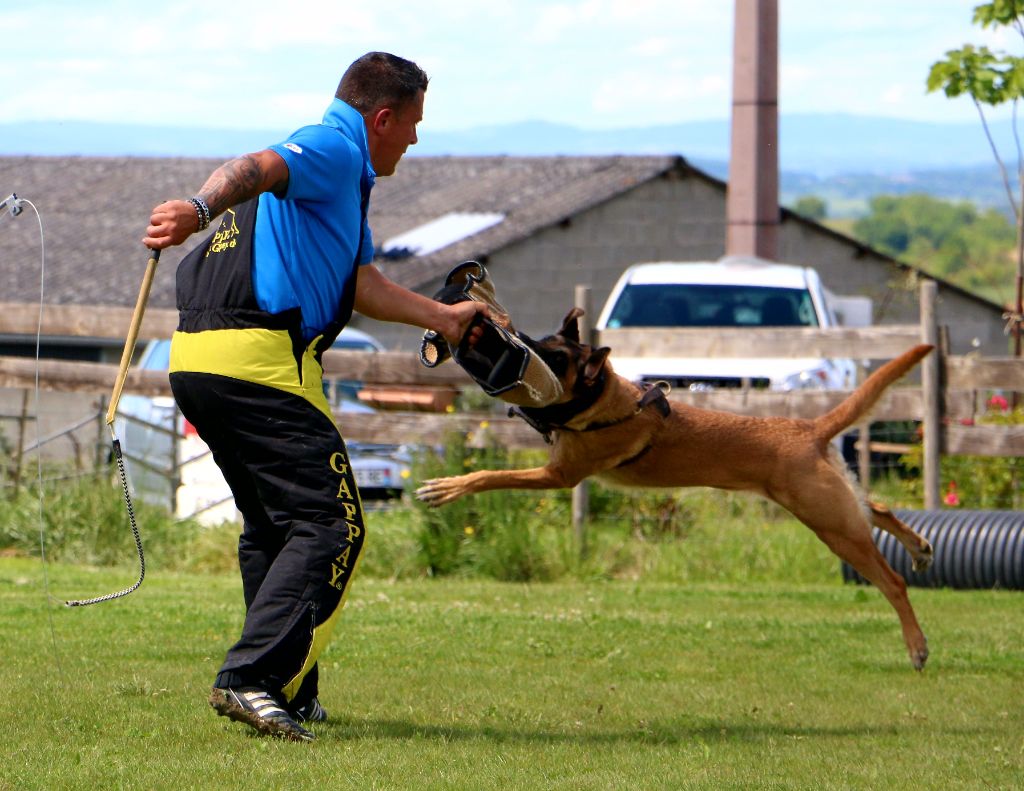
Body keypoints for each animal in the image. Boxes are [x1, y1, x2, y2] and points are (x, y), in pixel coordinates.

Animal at [415, 307, 937, 668]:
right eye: (543, 341)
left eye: (555, 357)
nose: (512, 338)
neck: (604, 398)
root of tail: (808, 429)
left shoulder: (558, 476)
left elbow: (488, 476)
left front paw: (446, 488)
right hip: (833, 505)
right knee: (879, 507)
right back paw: (921, 546)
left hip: (829, 523)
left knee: (892, 581)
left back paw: (916, 645)